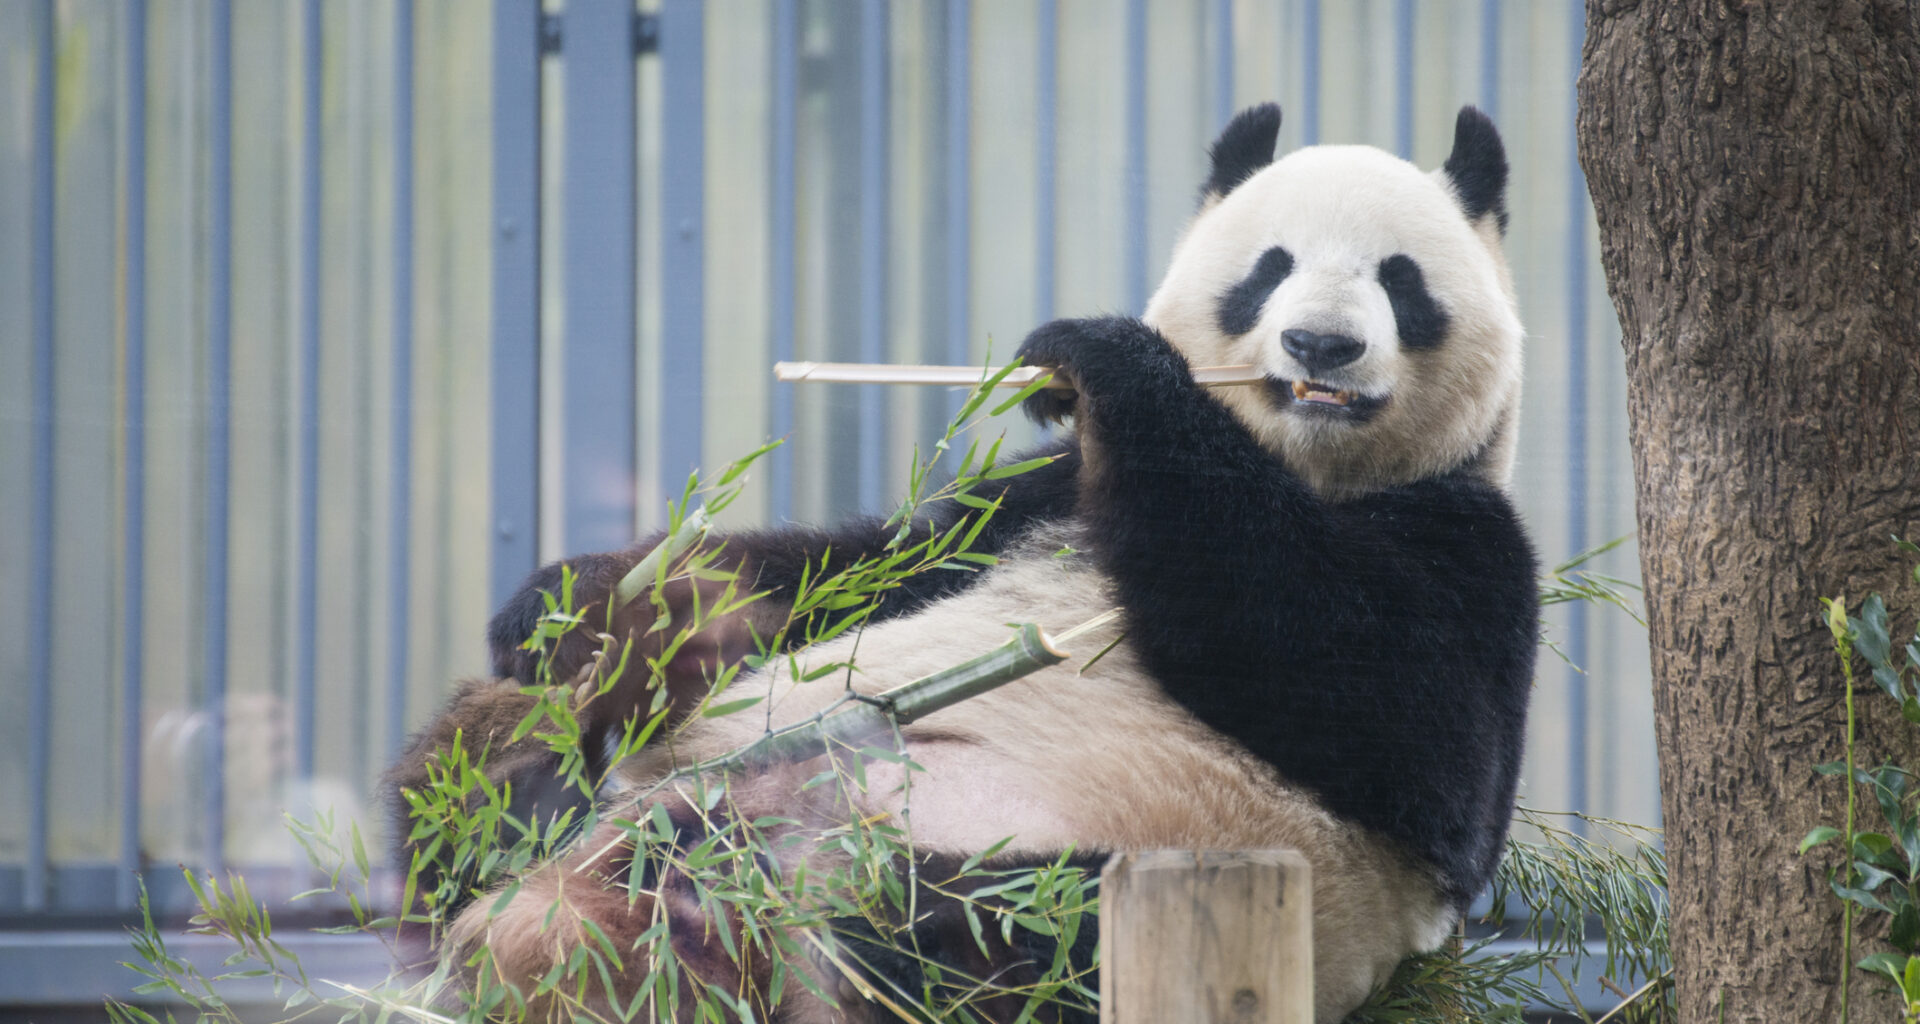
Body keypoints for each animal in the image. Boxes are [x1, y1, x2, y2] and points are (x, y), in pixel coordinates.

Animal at [386, 103, 1536, 1024]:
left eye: (1400, 281)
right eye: (1270, 269)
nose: (1321, 347)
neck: (1302, 467)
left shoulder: (1467, 547)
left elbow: (1374, 695)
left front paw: (1104, 353)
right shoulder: (1028, 500)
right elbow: (843, 568)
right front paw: (584, 604)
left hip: (1061, 862)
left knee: (952, 941)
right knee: (467, 793)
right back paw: (522, 788)